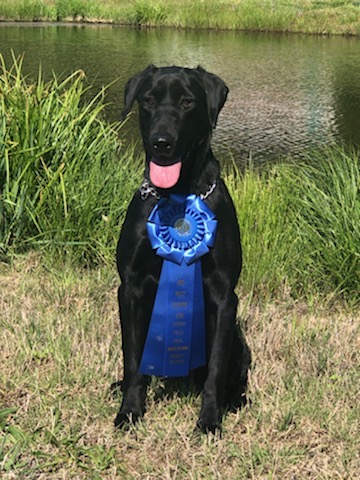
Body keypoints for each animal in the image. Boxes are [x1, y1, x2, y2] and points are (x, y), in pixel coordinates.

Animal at [115, 65, 250, 434]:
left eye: (187, 102)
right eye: (148, 100)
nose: (161, 142)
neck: (176, 193)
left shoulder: (224, 295)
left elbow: (215, 368)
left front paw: (210, 420)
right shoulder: (129, 288)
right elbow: (132, 359)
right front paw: (129, 410)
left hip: (238, 342)